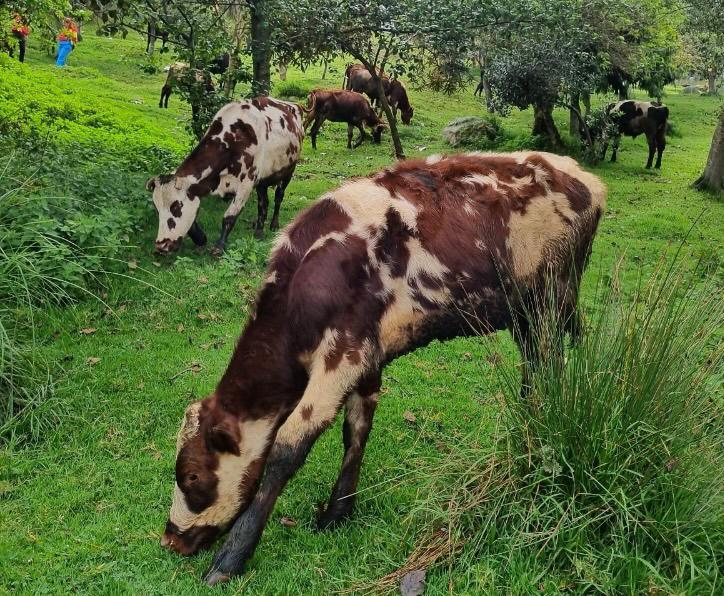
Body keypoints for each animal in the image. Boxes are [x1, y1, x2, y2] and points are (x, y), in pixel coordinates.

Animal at [146, 97, 304, 254]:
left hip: (289, 170)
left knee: (278, 197)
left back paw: (274, 224)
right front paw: (201, 239)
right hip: (262, 181)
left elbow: (229, 217)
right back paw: (259, 231)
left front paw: (219, 246)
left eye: (176, 207)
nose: (162, 245)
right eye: (157, 209)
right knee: (263, 203)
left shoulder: (246, 184)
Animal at [159, 151, 606, 585]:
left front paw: (232, 556)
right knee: (539, 371)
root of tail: (580, 175)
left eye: (191, 476)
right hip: (528, 313)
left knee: (552, 370)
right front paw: (338, 512)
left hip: (550, 301)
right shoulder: (366, 358)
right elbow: (356, 429)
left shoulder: (342, 354)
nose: (169, 539)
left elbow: (288, 447)